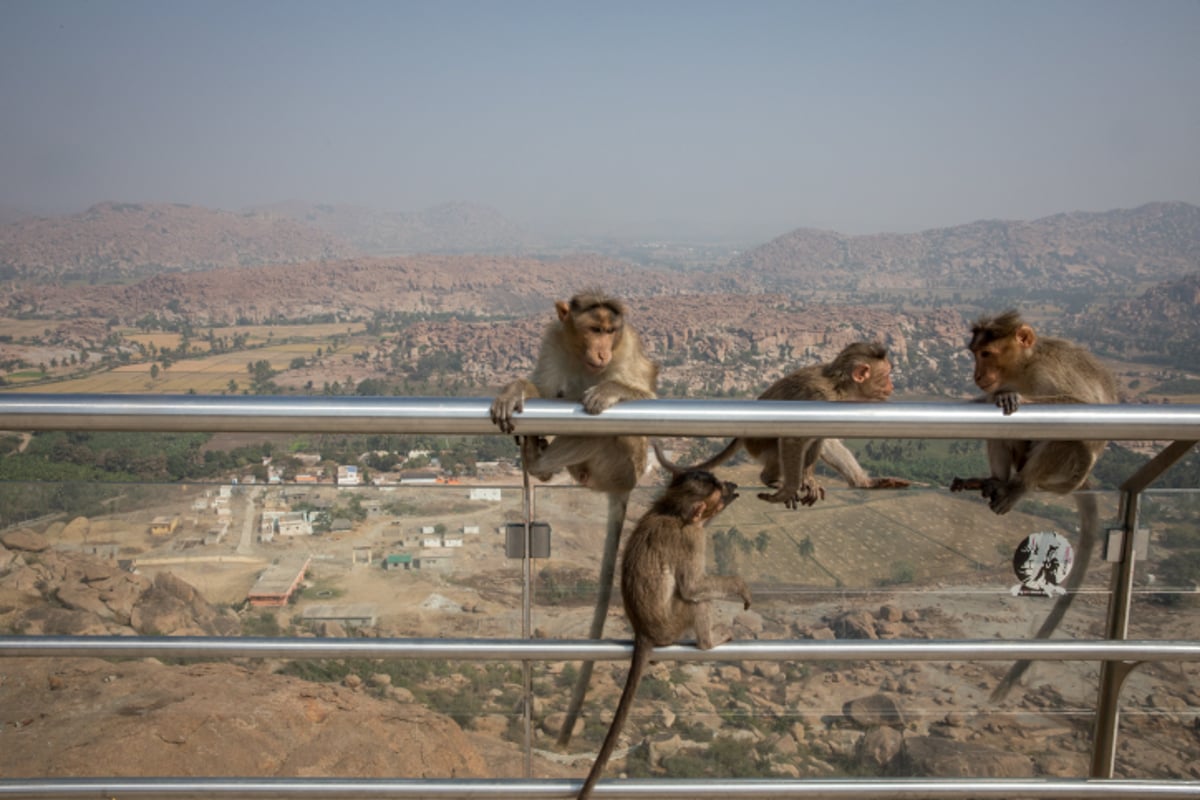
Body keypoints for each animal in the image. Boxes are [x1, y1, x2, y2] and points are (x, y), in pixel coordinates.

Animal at [487, 289, 657, 753]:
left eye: (611, 331)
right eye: (593, 329)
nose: (602, 351)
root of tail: (624, 488)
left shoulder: (629, 348)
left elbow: (647, 394)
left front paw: (611, 389)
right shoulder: (553, 342)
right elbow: (545, 388)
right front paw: (514, 388)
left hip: (620, 464)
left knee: (598, 430)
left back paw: (536, 461)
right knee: (563, 399)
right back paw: (539, 460)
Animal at [573, 470, 748, 800]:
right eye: (718, 491)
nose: (731, 486)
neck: (671, 511)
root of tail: (643, 630)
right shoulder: (692, 538)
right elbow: (693, 588)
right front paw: (738, 585)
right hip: (672, 623)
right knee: (696, 600)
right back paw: (708, 642)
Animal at [652, 343, 902, 506]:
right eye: (886, 376)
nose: (892, 386)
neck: (839, 386)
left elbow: (820, 437)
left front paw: (810, 479)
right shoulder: (819, 397)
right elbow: (793, 438)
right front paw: (790, 489)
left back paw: (861, 482)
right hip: (759, 444)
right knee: (779, 448)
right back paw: (770, 479)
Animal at [950, 311, 1118, 700]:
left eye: (987, 353)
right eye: (975, 354)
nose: (977, 375)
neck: (1024, 368)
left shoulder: (1051, 374)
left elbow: (1083, 408)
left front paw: (1021, 398)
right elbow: (991, 401)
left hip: (1068, 472)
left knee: (1069, 441)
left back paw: (1019, 488)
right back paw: (993, 481)